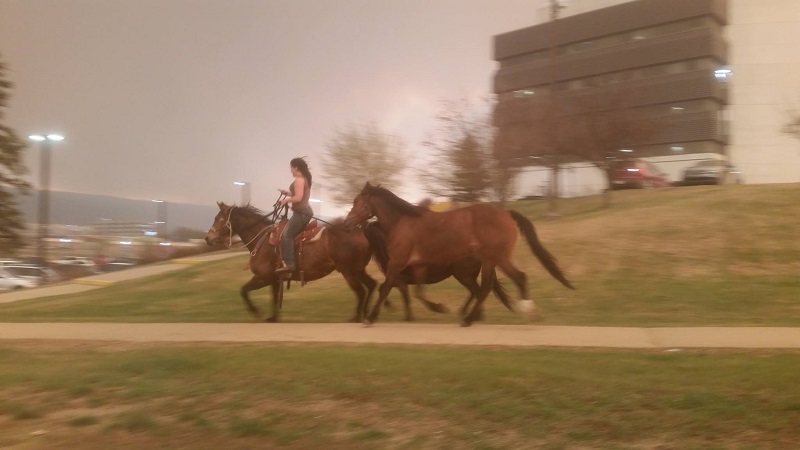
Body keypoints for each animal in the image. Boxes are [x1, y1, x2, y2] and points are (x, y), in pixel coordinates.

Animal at [205, 202, 377, 323]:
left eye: (218, 219)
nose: (208, 238)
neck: (263, 241)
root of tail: (360, 230)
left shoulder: (263, 277)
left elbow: (244, 290)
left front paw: (256, 312)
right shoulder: (274, 280)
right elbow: (274, 298)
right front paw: (273, 318)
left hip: (349, 271)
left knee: (361, 291)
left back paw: (356, 317)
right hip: (358, 270)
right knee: (371, 285)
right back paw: (366, 314)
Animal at [362, 221, 513, 321]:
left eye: (368, 230)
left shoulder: (399, 279)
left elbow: (389, 290)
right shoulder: (400, 281)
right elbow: (395, 292)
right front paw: (407, 316)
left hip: (463, 275)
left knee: (477, 291)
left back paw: (472, 315)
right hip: (467, 276)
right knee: (475, 292)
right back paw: (469, 313)